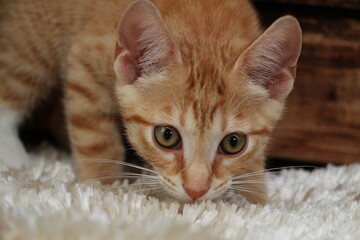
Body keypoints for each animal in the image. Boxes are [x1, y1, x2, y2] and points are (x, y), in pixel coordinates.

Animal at [0, 0, 300, 203]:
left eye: (233, 143)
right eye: (166, 136)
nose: (196, 190)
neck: (205, 25)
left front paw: (255, 199)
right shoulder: (86, 58)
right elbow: (97, 140)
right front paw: (101, 188)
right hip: (33, 37)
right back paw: (17, 161)